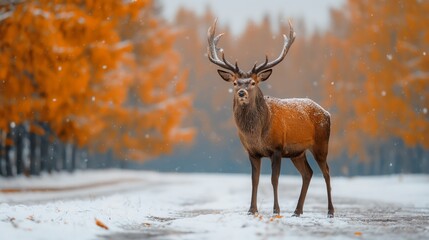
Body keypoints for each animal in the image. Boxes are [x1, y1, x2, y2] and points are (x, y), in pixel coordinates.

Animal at [206, 19, 332, 218]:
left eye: (253, 82)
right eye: (235, 83)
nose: (241, 93)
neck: (256, 134)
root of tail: (327, 113)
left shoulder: (277, 147)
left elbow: (274, 179)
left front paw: (276, 210)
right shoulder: (252, 152)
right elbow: (255, 180)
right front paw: (252, 210)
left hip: (321, 143)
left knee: (326, 171)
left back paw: (330, 211)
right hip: (298, 152)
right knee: (308, 173)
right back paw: (297, 211)